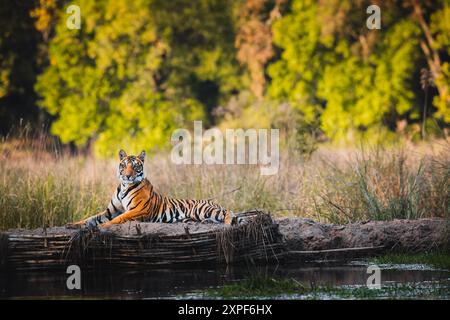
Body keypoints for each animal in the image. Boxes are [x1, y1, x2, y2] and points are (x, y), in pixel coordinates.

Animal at [67, 149, 236, 228]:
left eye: (135, 166)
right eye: (124, 165)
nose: (127, 176)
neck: (124, 186)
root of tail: (212, 202)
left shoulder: (137, 210)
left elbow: (118, 219)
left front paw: (102, 226)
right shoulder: (110, 211)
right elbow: (90, 218)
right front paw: (73, 224)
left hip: (203, 209)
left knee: (228, 212)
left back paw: (227, 223)